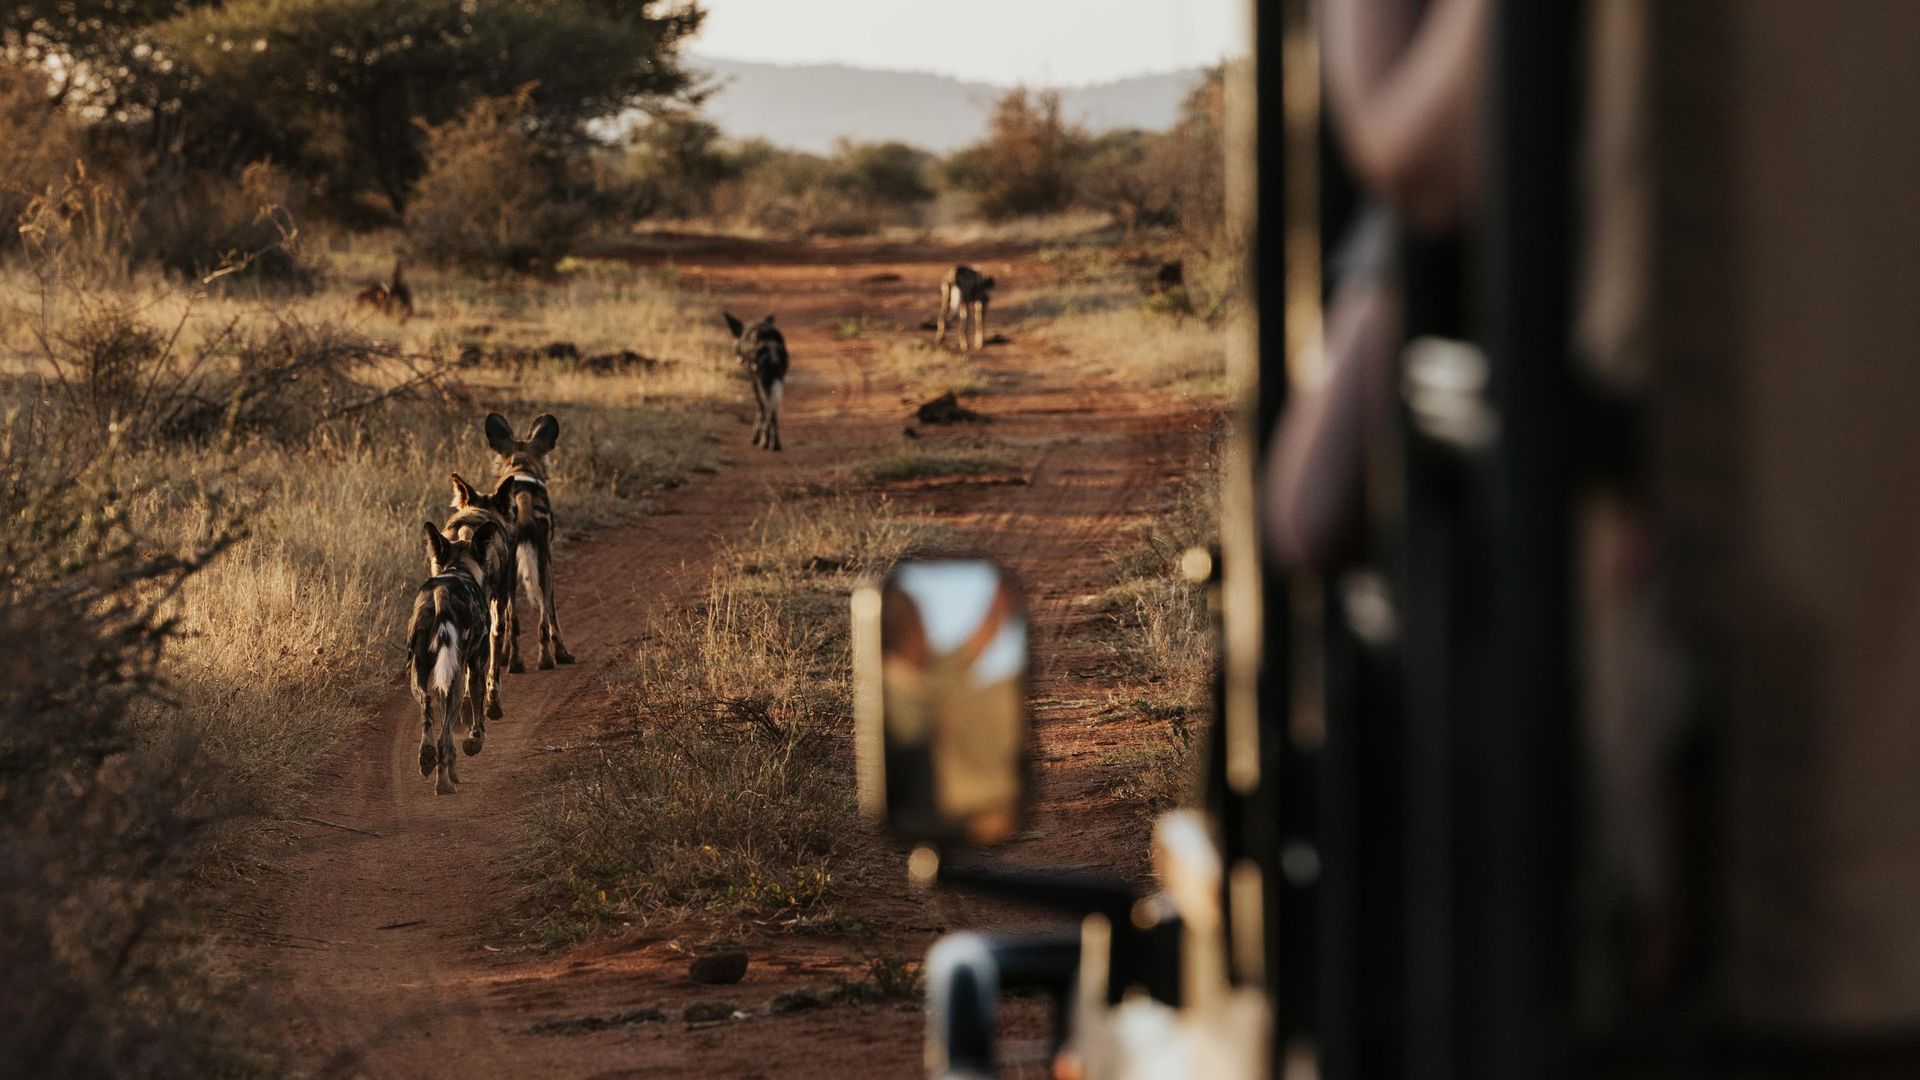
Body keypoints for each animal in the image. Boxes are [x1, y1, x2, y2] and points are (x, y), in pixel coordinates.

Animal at [407, 518, 495, 791]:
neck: (458, 568)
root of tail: (440, 594)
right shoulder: (476, 667)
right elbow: (477, 717)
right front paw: (474, 743)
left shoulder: (440, 677)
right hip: (456, 680)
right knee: (443, 738)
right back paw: (444, 785)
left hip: (420, 672)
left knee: (427, 707)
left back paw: (426, 759)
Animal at [483, 409, 572, 664]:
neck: (521, 466)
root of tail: (522, 495)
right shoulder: (544, 555)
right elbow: (552, 611)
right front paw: (562, 653)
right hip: (536, 562)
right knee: (536, 614)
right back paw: (542, 659)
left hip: (516, 566)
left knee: (514, 618)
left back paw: (517, 661)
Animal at [721, 309, 791, 447]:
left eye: (736, 348)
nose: (738, 358)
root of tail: (770, 341)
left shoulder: (754, 381)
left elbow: (760, 408)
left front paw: (757, 436)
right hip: (776, 380)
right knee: (773, 411)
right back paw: (776, 443)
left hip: (764, 381)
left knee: (768, 409)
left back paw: (765, 441)